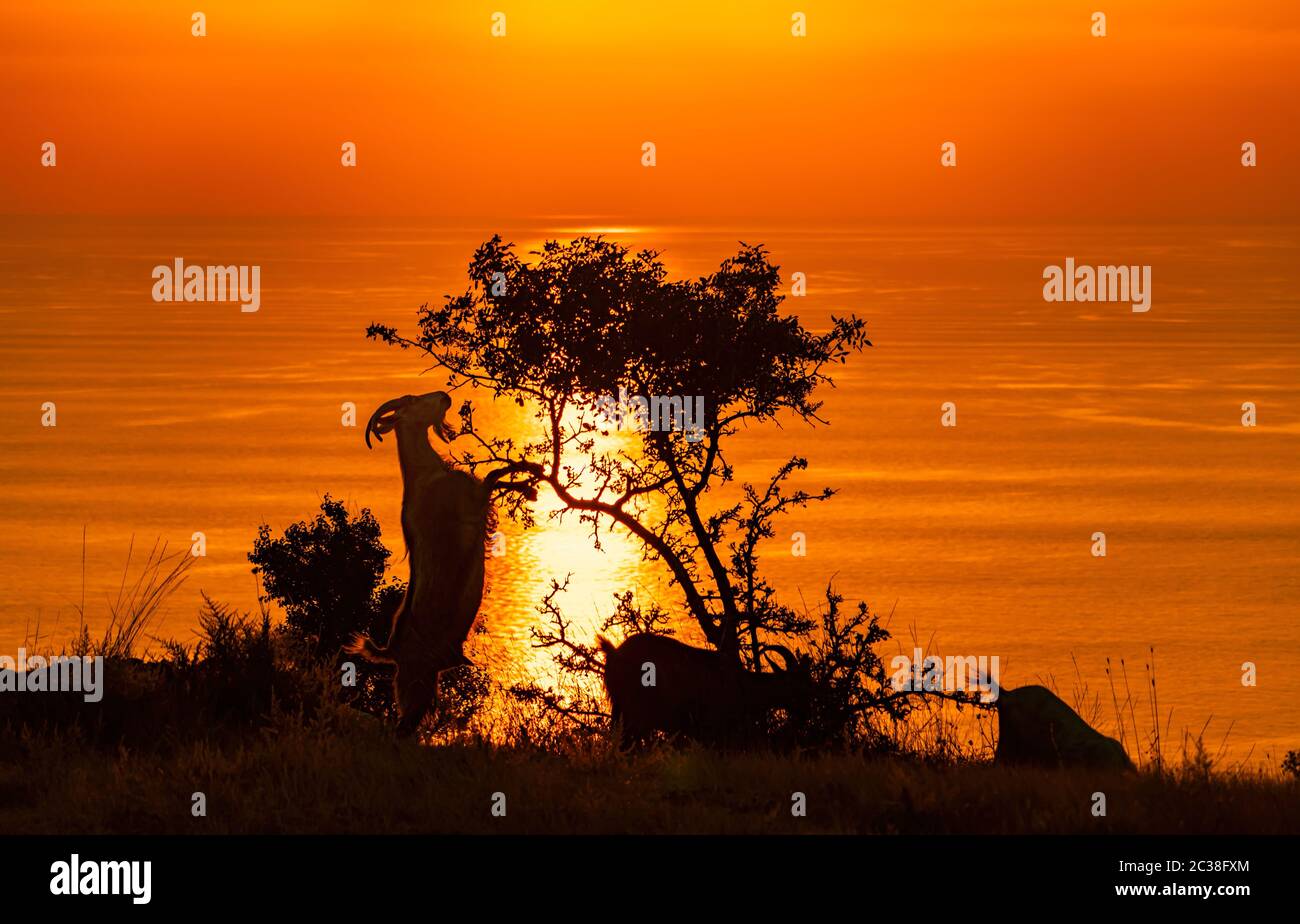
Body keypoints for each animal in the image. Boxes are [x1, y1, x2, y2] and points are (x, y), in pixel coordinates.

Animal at [597, 633, 812, 748]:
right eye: (797, 686)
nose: (804, 715)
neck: (743, 685)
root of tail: (614, 653)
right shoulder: (713, 728)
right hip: (636, 713)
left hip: (620, 710)